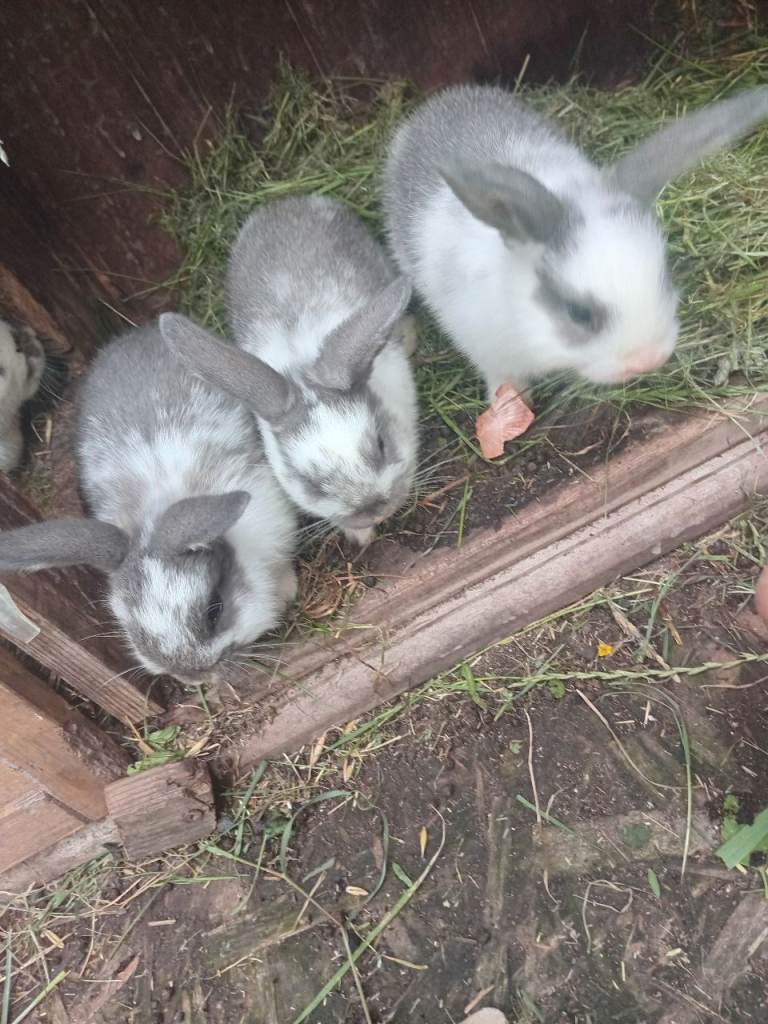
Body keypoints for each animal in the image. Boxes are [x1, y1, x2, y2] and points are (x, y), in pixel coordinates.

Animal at [161, 194, 419, 547]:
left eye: (381, 444)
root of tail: (284, 201)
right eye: (310, 483)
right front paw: (362, 537)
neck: (300, 364)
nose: (375, 509)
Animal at [382, 84, 768, 402]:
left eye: (665, 278)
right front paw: (510, 404)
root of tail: (436, 104)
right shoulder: (483, 343)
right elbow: (503, 376)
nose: (647, 360)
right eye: (578, 313)